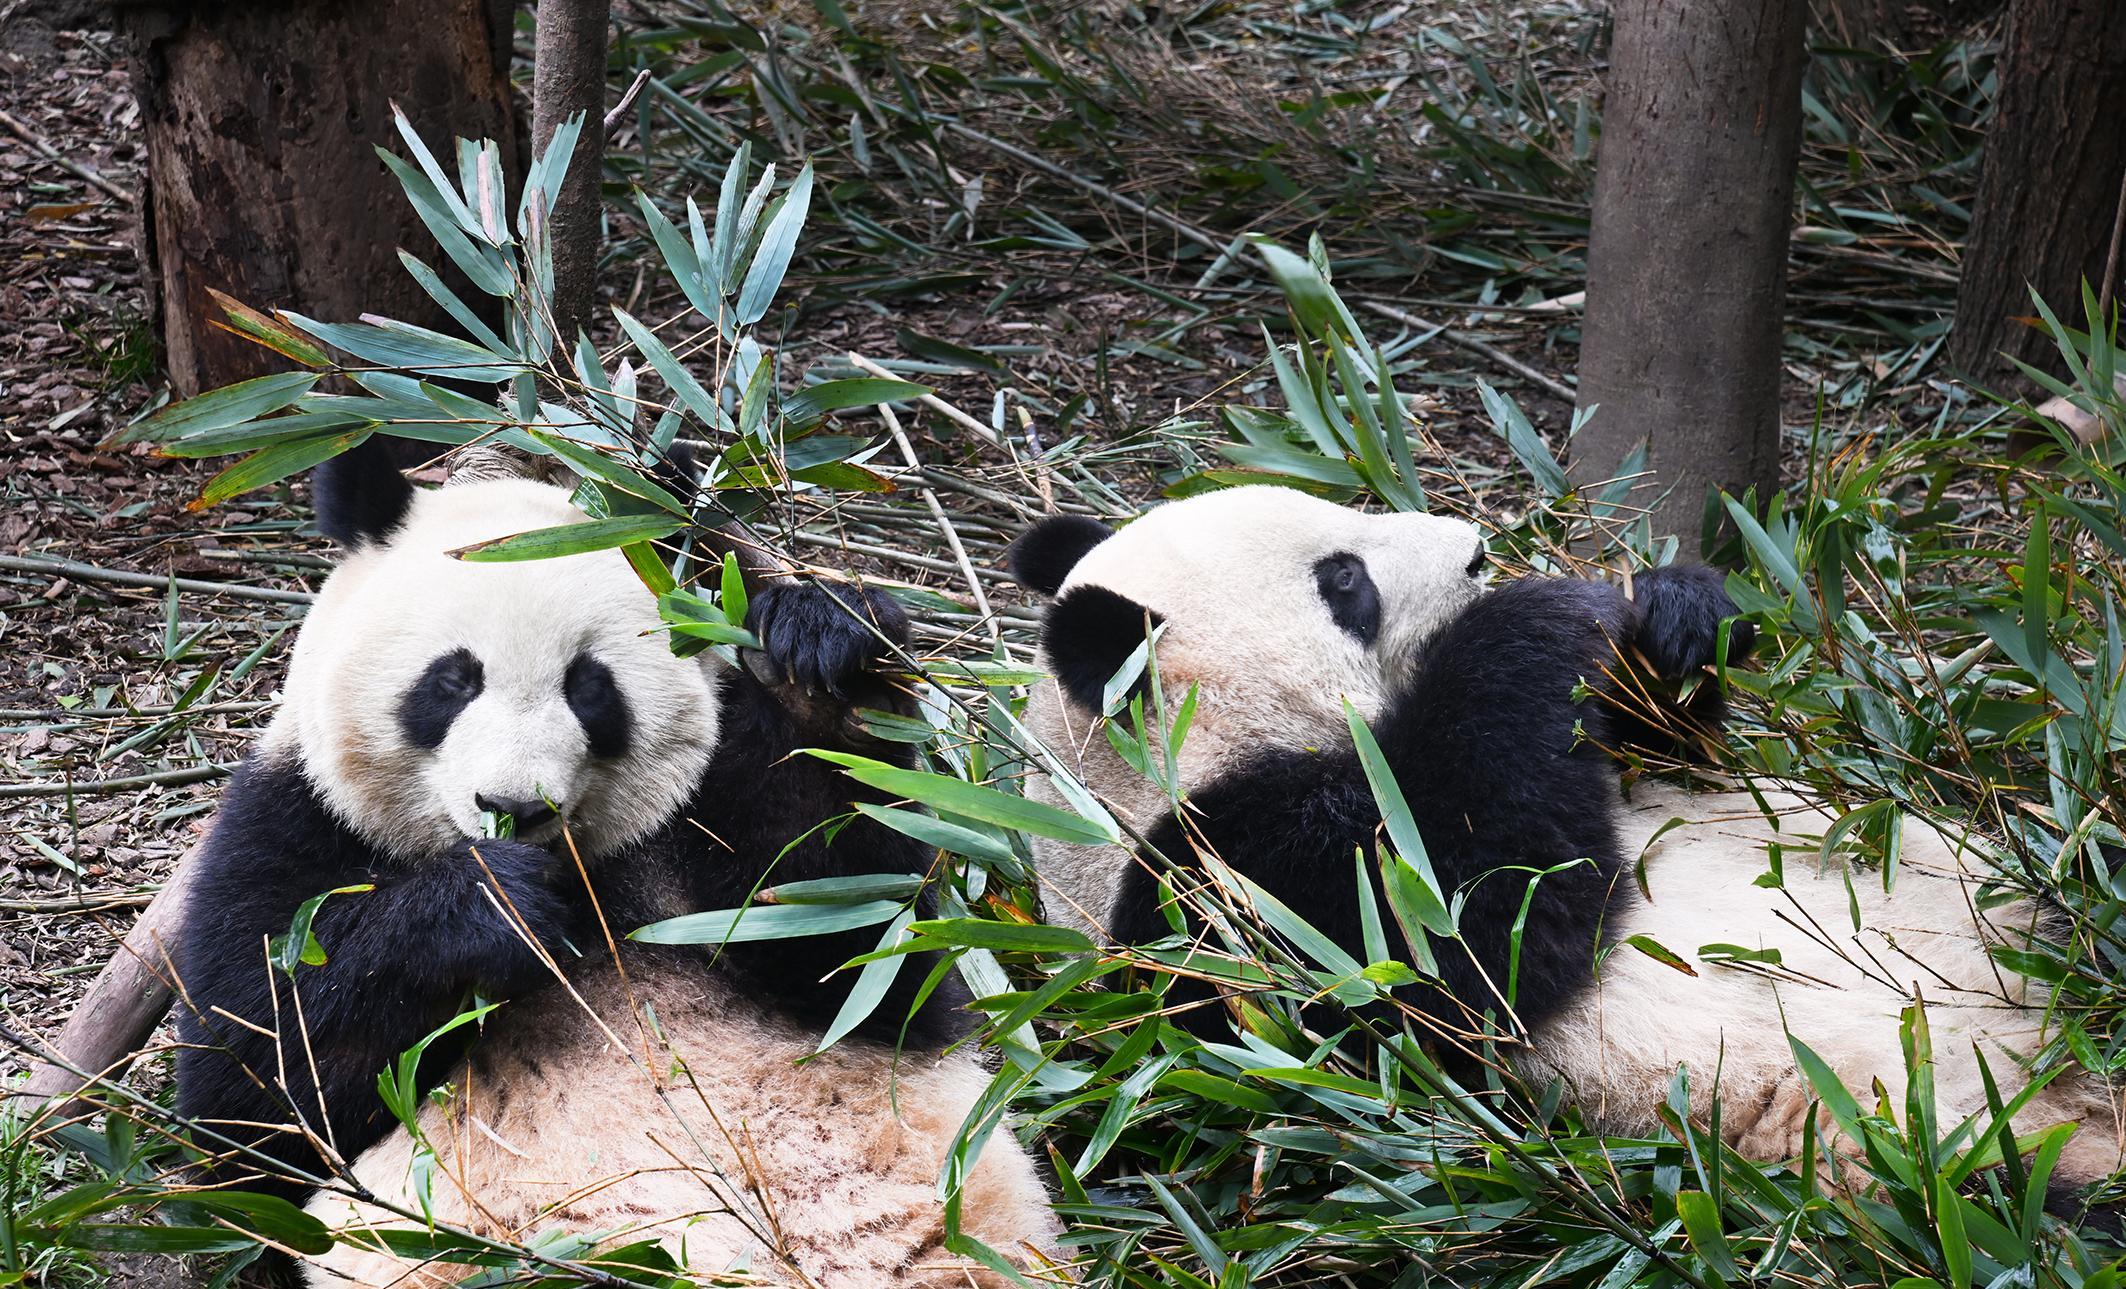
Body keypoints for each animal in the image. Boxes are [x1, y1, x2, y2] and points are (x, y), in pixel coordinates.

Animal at [176, 444, 1063, 1289]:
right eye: (452, 679)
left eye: (589, 687)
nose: (515, 804)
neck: (580, 870)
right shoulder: (292, 825)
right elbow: (261, 1093)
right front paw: (493, 908)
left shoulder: (704, 843)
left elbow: (857, 954)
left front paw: (815, 664)